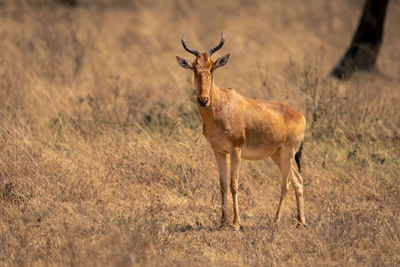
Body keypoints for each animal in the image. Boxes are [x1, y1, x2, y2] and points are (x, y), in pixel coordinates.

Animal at [176, 33, 306, 230]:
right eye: (194, 67)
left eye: (212, 68)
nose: (203, 99)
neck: (222, 104)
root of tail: (299, 116)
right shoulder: (219, 152)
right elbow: (222, 184)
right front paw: (223, 222)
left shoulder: (235, 150)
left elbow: (234, 185)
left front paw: (236, 224)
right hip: (277, 154)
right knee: (298, 181)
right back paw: (300, 222)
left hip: (287, 153)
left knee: (286, 185)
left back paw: (275, 221)